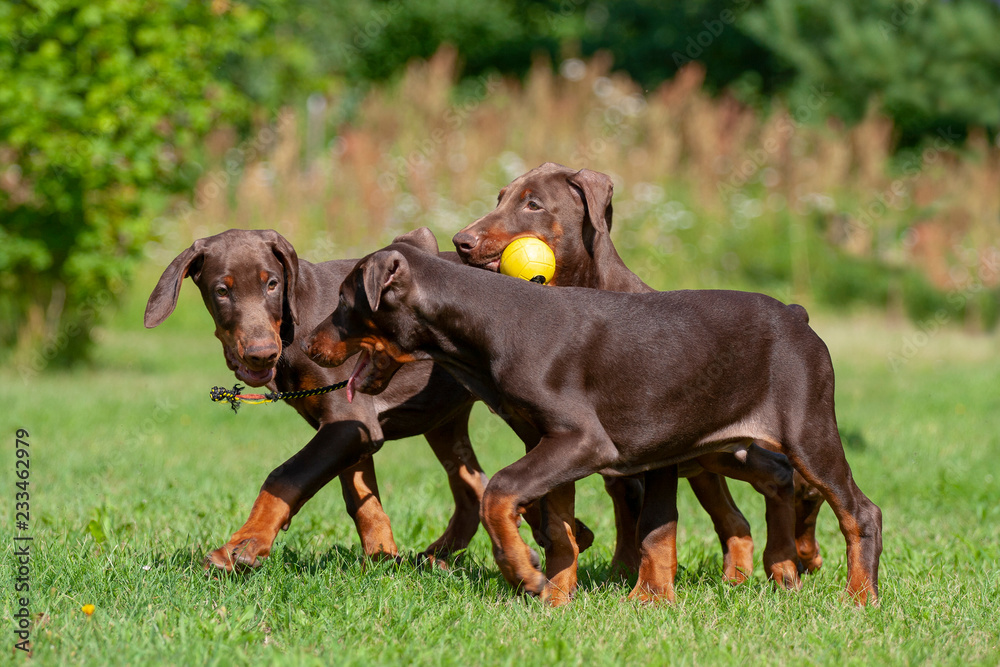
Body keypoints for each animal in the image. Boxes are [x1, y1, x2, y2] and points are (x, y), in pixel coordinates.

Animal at [145, 230, 496, 568]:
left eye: (272, 284)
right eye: (221, 291)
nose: (262, 354)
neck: (294, 325)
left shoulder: (348, 423)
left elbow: (286, 476)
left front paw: (243, 545)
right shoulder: (350, 431)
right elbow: (362, 500)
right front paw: (382, 559)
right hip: (444, 420)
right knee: (473, 486)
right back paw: (438, 557)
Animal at [306, 230, 884, 604]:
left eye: (344, 301)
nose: (308, 344)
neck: (487, 324)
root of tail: (797, 316)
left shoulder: (582, 440)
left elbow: (498, 492)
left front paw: (523, 575)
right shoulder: (546, 442)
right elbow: (557, 527)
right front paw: (554, 596)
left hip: (807, 430)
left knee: (860, 510)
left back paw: (859, 596)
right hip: (720, 444)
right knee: (786, 486)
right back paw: (786, 572)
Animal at [454, 162, 828, 576]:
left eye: (532, 204)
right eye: (499, 198)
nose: (461, 241)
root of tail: (796, 313)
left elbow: (646, 521)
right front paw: (603, 559)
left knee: (798, 482)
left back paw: (802, 554)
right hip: (713, 455)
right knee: (748, 504)